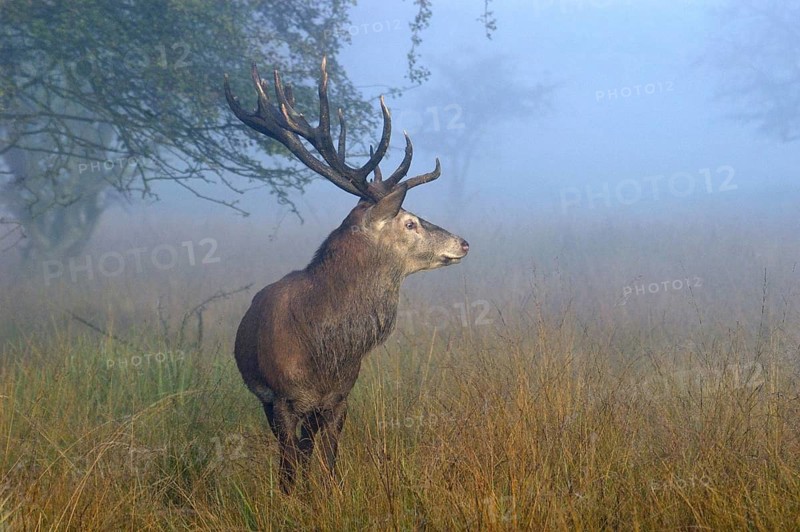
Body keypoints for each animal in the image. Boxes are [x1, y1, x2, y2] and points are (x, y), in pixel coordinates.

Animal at [224, 58, 469, 493]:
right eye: (409, 222)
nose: (463, 243)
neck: (323, 350)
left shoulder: (340, 397)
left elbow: (328, 464)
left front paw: (327, 496)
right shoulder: (281, 398)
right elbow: (289, 470)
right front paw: (292, 500)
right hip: (267, 400)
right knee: (290, 457)